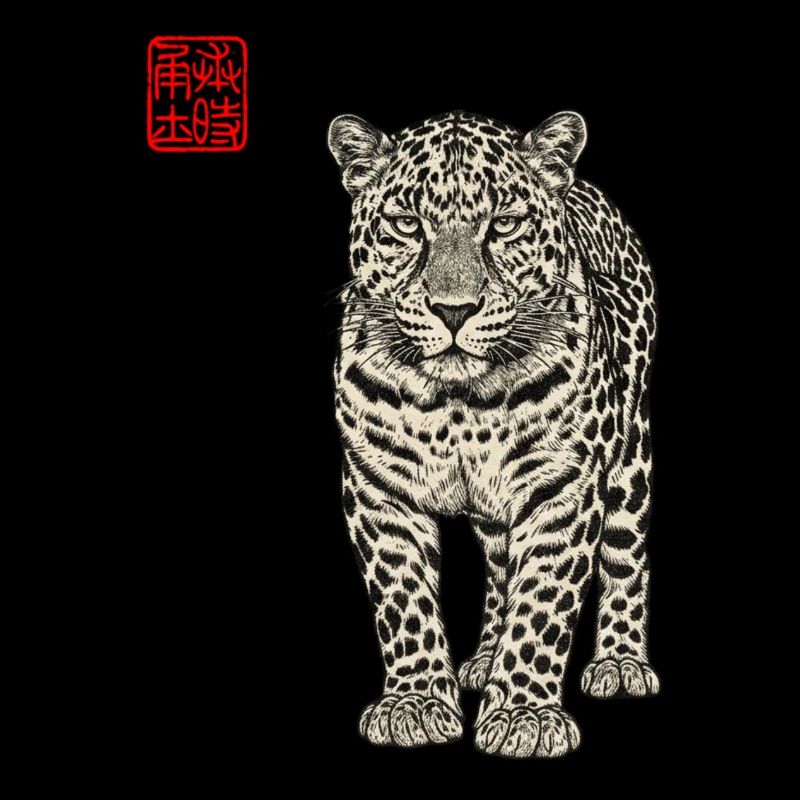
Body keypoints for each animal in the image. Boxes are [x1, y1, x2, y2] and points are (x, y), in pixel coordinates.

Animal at [328, 110, 659, 758]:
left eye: (504, 224)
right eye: (408, 224)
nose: (453, 310)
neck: (458, 404)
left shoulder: (561, 490)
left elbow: (543, 603)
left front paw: (523, 714)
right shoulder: (379, 491)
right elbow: (403, 598)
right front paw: (415, 703)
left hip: (630, 458)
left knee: (625, 556)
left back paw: (620, 662)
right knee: (501, 563)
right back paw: (483, 658)